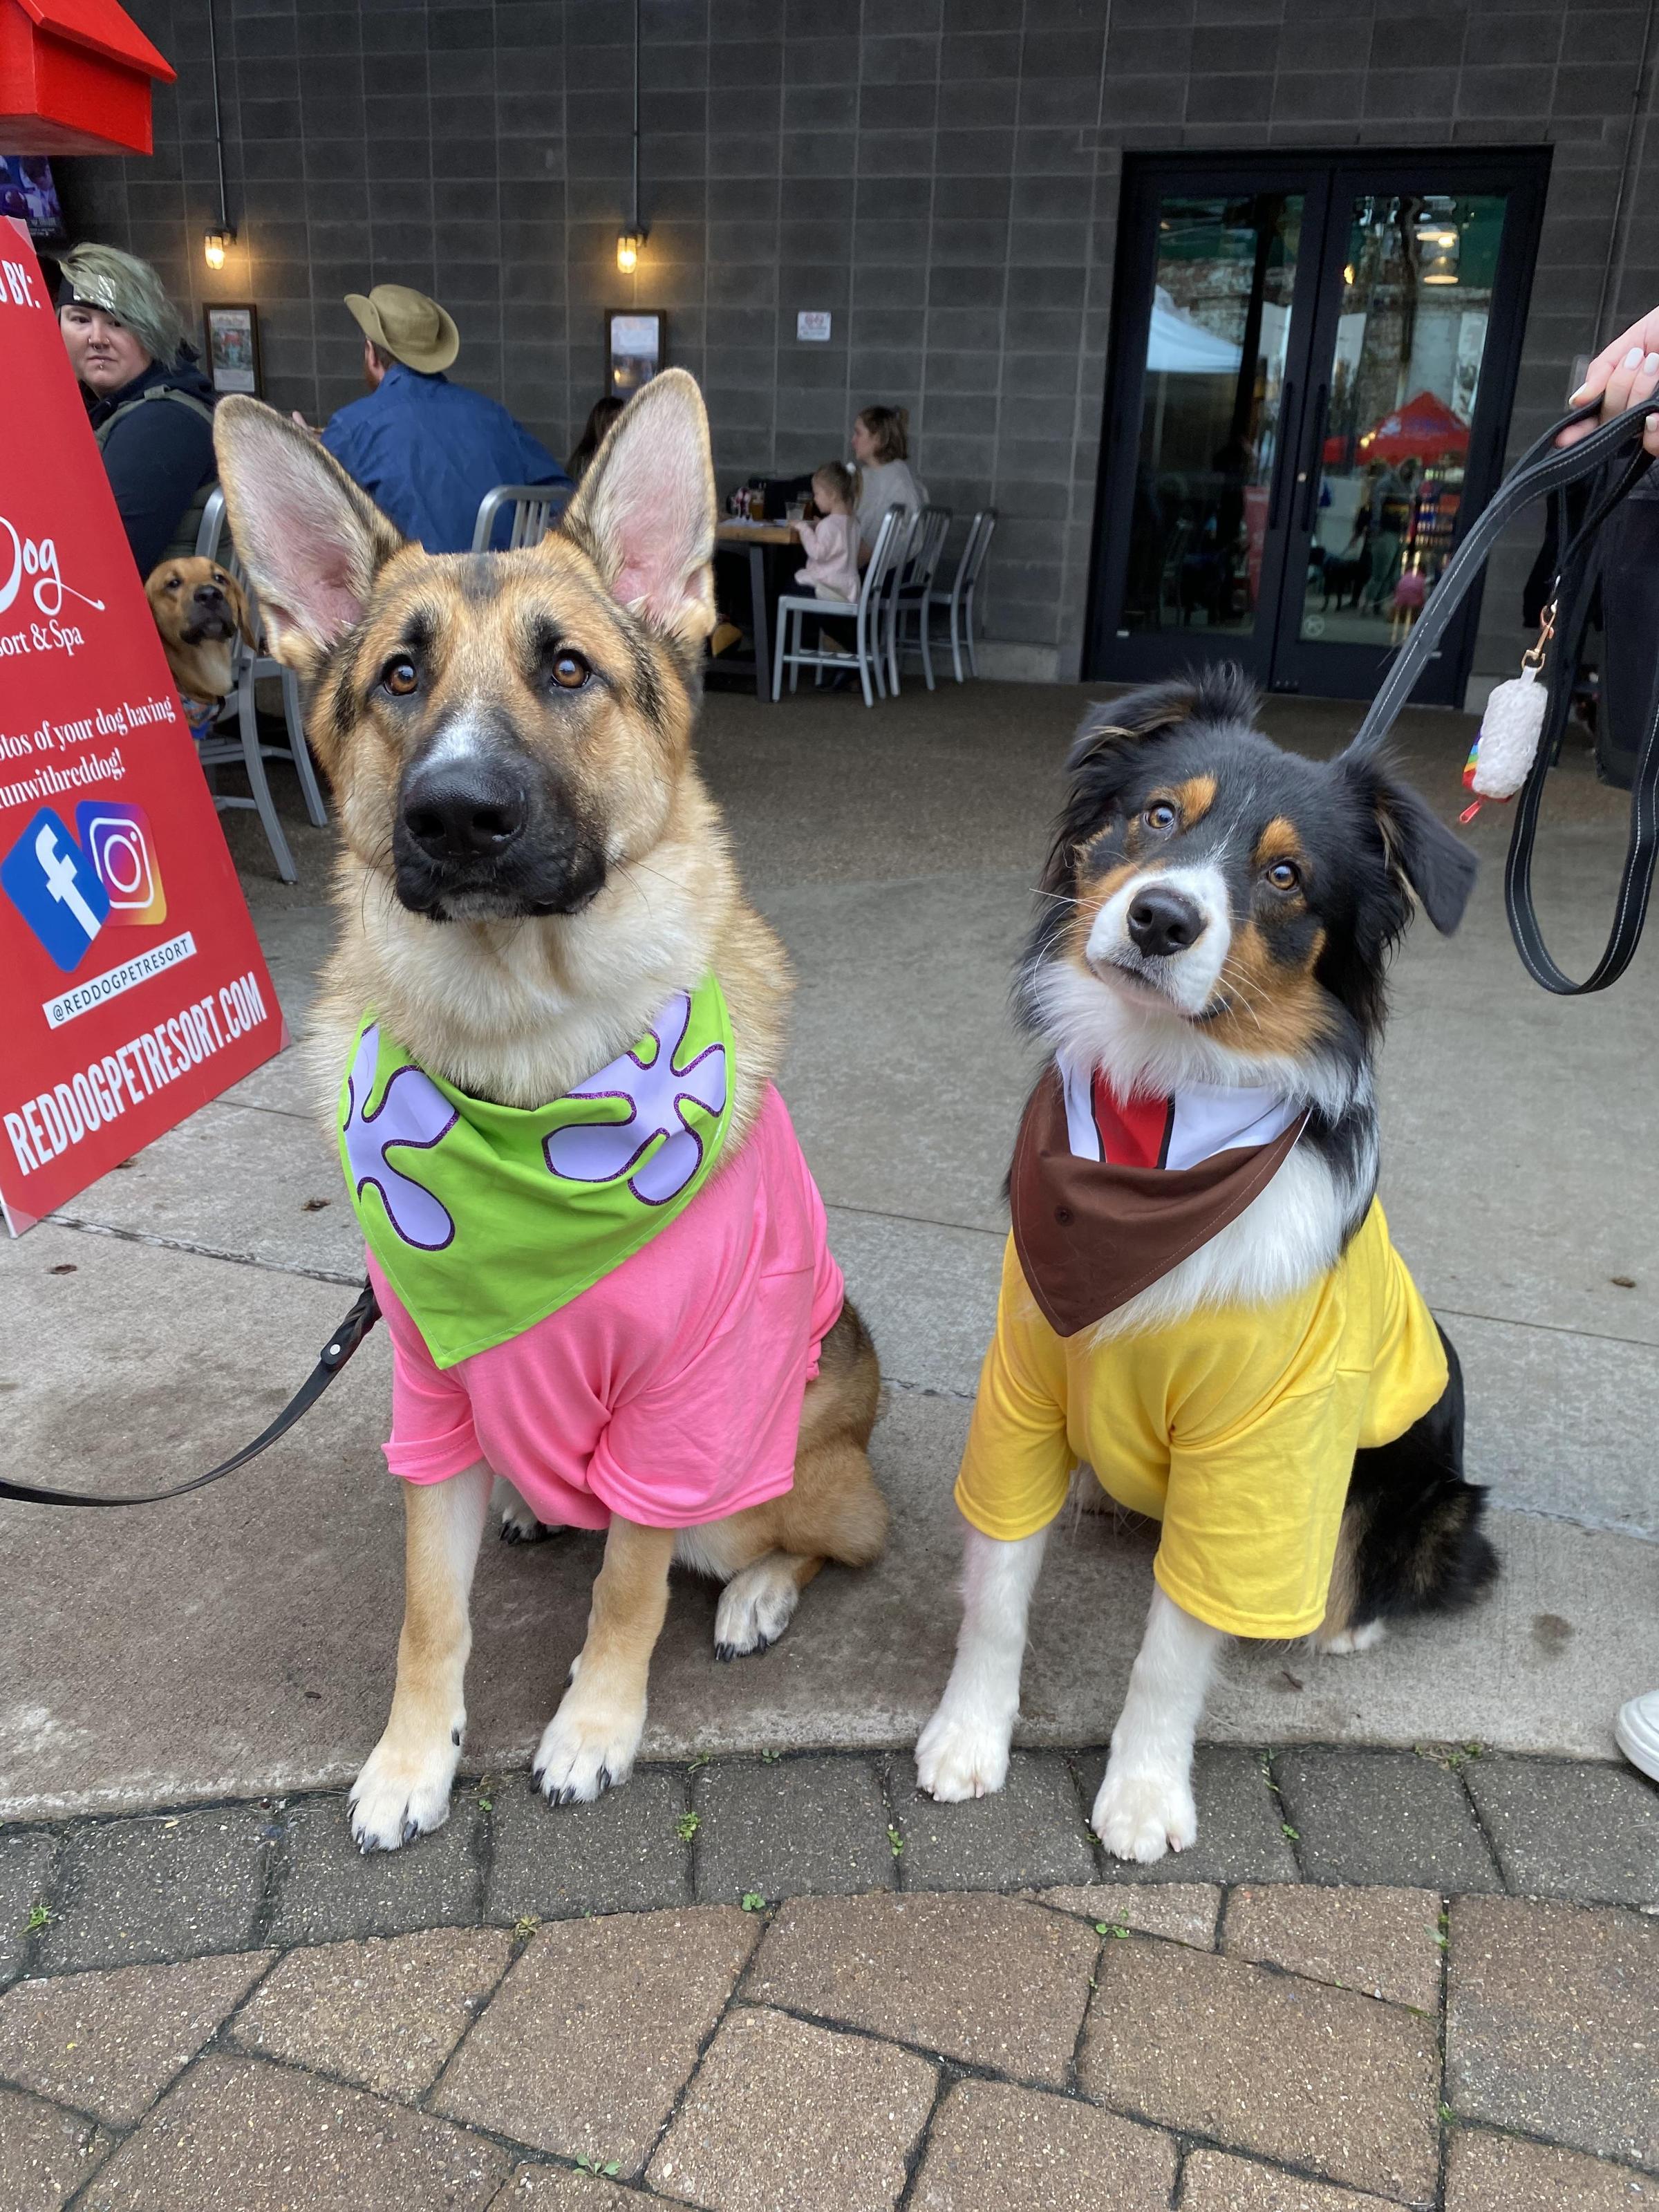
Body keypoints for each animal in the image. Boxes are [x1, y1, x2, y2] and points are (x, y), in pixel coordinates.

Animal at [915, 672, 1504, 1866]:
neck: (1161, 1107)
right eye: (1157, 815)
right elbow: (996, 1591)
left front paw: (1143, 1795)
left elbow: (1173, 1648)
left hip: (1419, 1484)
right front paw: (968, 1736)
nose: (1162, 917)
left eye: (1285, 876)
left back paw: (1342, 1622)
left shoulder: (1257, 1449)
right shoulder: (1024, 1386)